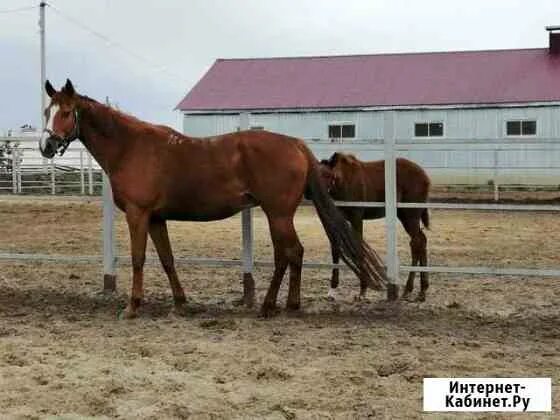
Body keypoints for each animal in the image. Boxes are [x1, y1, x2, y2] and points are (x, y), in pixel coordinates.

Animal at [40, 79, 390, 318]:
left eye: (67, 112)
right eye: (47, 111)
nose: (46, 146)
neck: (132, 147)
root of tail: (295, 144)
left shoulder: (138, 214)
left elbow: (138, 259)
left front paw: (132, 306)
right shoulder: (156, 218)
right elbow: (167, 259)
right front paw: (180, 302)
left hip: (277, 214)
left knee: (290, 253)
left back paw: (269, 305)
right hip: (279, 215)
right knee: (290, 254)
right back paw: (287, 304)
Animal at [320, 153, 428, 302]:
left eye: (329, 176)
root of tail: (425, 177)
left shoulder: (356, 218)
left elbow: (358, 249)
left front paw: (362, 291)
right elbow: (336, 251)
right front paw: (332, 291)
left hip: (410, 215)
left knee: (417, 242)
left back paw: (409, 290)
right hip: (404, 215)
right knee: (421, 241)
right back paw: (421, 290)